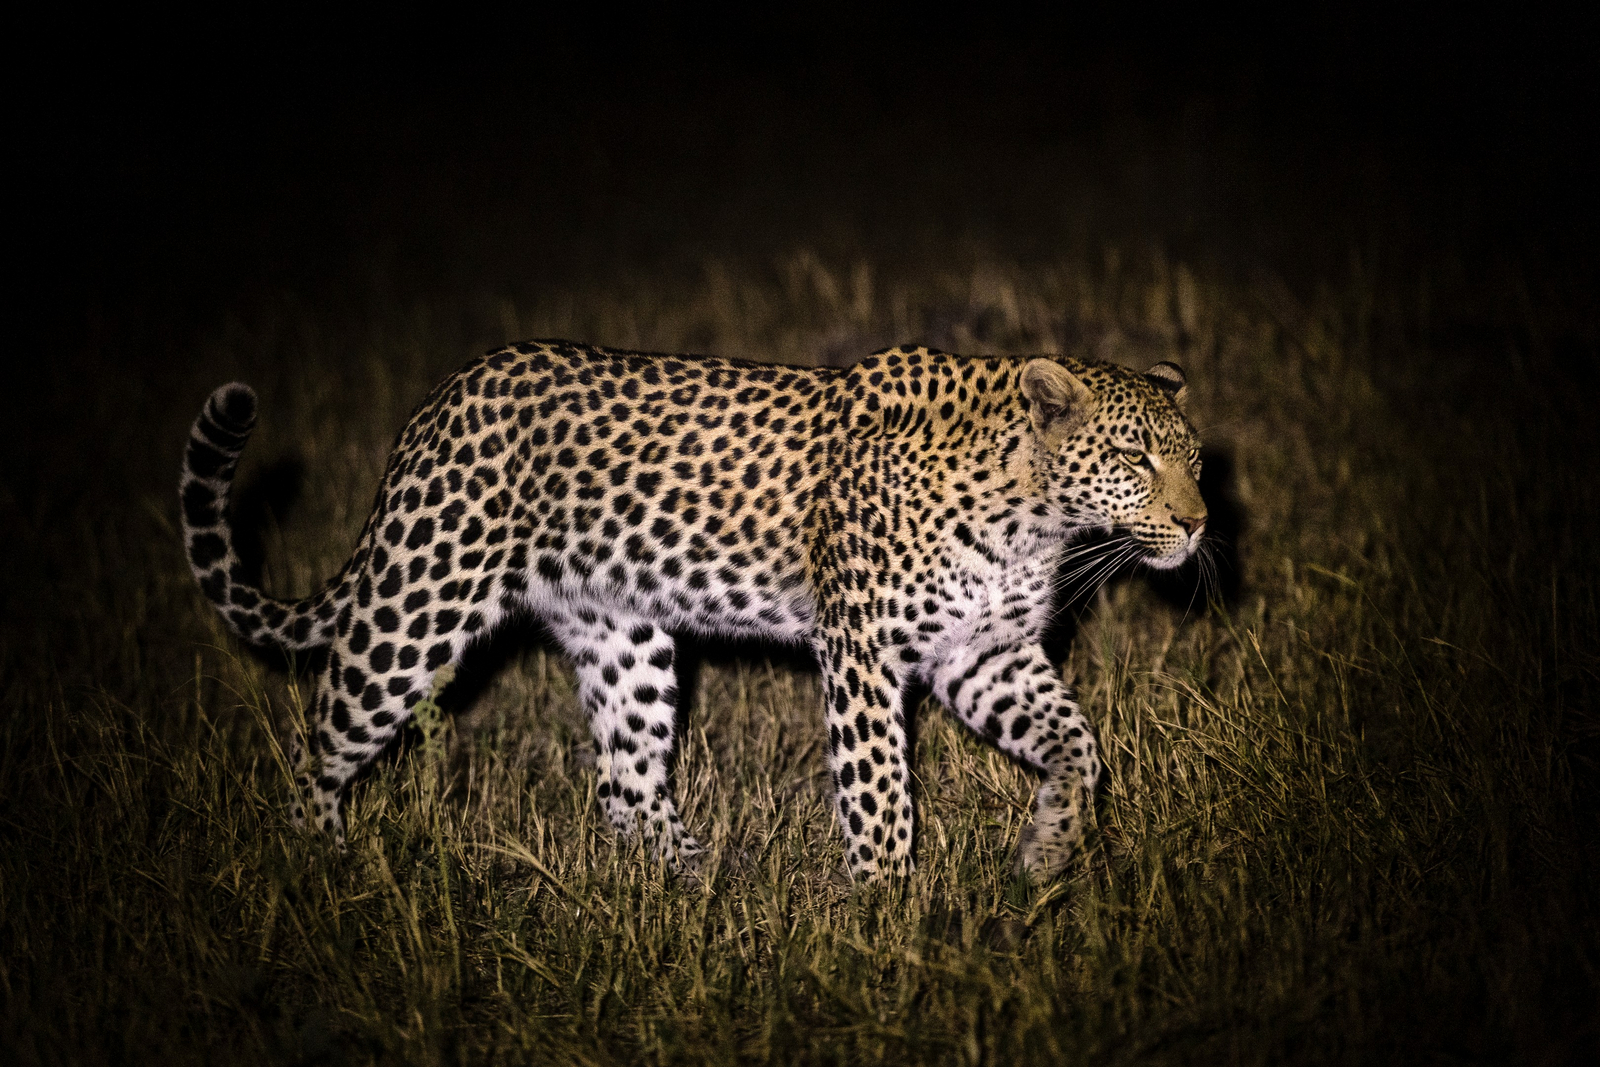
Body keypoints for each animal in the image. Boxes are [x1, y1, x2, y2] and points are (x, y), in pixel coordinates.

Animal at [180, 341, 1205, 881]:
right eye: (1136, 457)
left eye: (1194, 457)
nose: (1199, 522)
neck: (1035, 513)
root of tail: (441, 399)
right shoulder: (864, 650)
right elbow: (880, 788)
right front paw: (887, 910)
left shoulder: (982, 652)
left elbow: (1079, 744)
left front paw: (1049, 845)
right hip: (418, 603)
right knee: (321, 732)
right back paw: (320, 862)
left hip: (625, 639)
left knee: (624, 782)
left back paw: (697, 879)